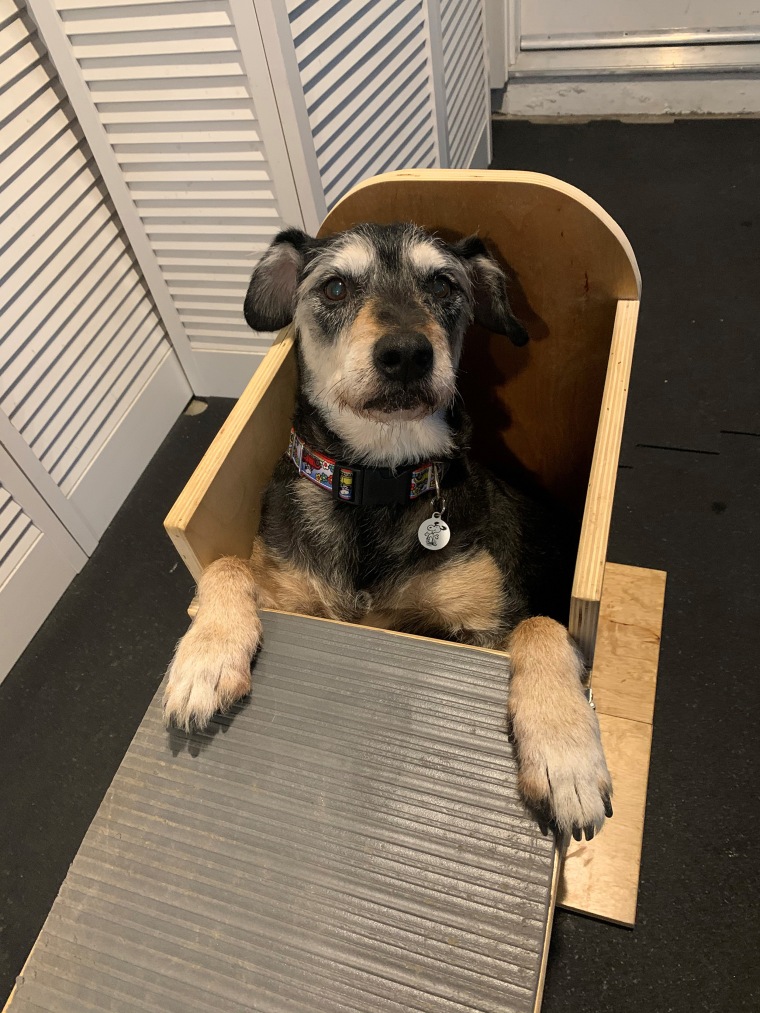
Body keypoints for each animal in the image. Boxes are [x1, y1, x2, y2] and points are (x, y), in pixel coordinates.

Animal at [164, 223, 616, 838]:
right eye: (333, 287)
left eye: (444, 283)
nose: (406, 354)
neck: (377, 482)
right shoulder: (290, 590)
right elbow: (226, 563)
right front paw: (203, 661)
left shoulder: (487, 623)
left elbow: (541, 626)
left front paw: (565, 754)